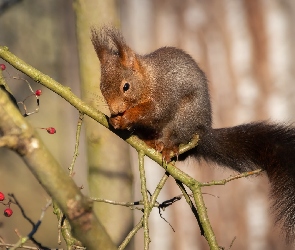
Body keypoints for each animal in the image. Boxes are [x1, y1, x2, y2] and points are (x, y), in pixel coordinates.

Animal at [91, 26, 295, 241]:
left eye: (126, 86)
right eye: (101, 87)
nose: (115, 110)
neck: (149, 79)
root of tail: (204, 134)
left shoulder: (164, 94)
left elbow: (155, 112)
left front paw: (125, 117)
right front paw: (115, 120)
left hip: (183, 121)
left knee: (174, 138)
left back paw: (168, 148)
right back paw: (151, 142)